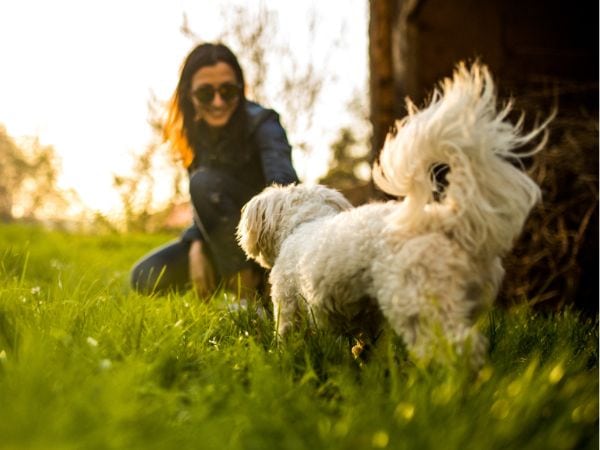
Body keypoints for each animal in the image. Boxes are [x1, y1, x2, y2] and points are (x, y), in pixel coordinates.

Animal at [237, 62, 548, 366]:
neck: (305, 223)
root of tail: (447, 219)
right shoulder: (366, 313)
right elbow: (369, 339)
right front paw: (365, 359)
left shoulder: (288, 302)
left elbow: (287, 335)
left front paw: (281, 357)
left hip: (419, 299)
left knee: (454, 347)